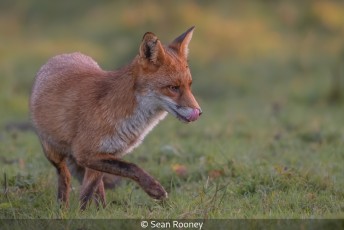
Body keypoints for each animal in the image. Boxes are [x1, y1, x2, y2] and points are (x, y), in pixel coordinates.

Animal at [30, 26, 202, 209]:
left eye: (189, 85)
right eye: (173, 88)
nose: (199, 112)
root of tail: (62, 55)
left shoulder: (107, 153)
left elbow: (90, 189)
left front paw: (94, 212)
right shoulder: (84, 153)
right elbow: (131, 167)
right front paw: (155, 189)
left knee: (95, 184)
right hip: (52, 151)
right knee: (65, 176)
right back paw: (62, 207)